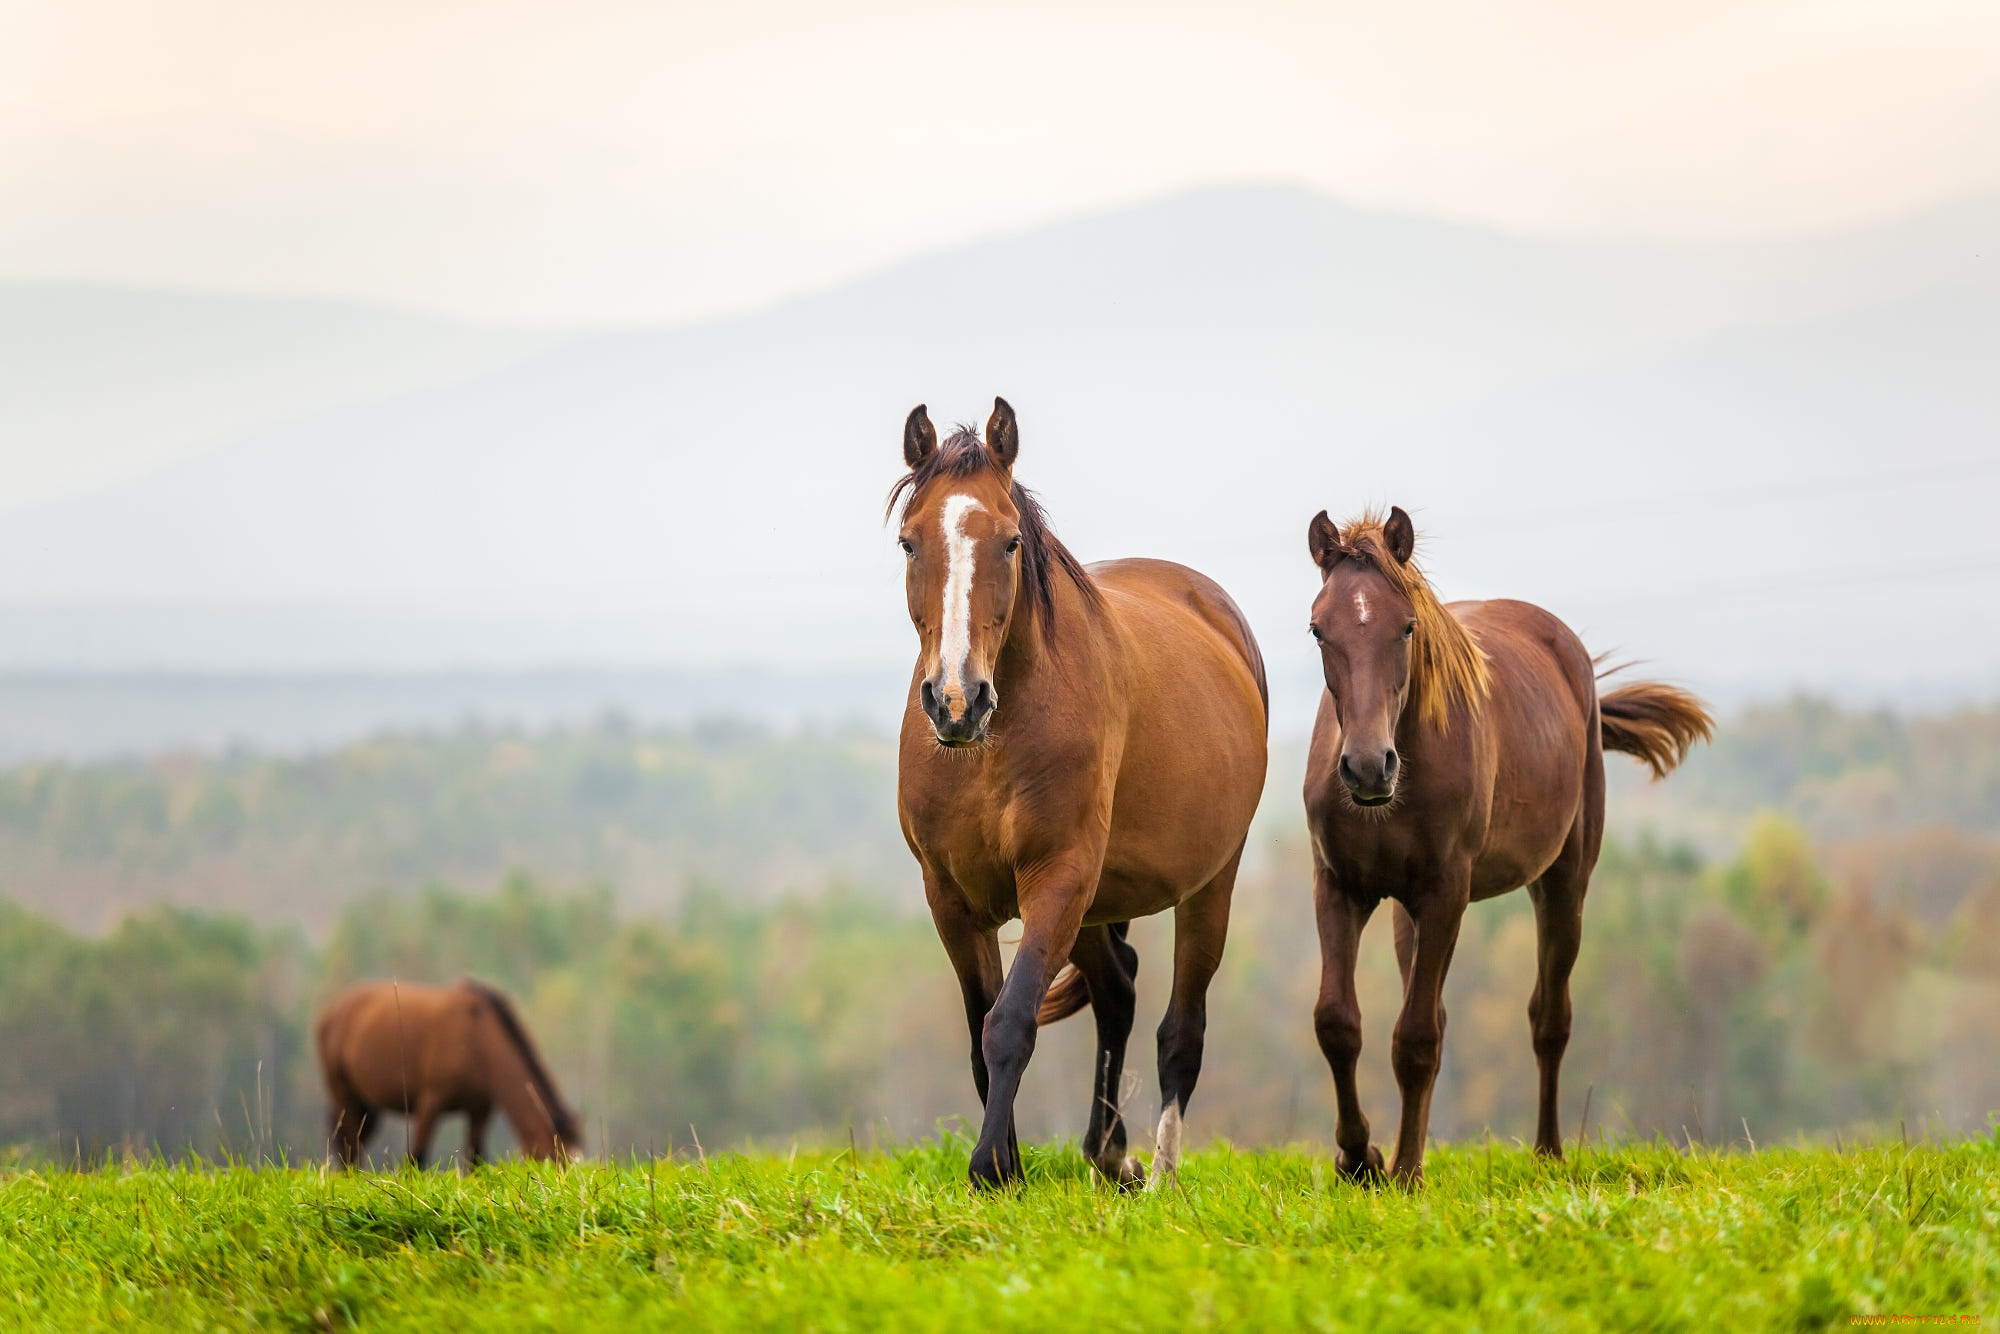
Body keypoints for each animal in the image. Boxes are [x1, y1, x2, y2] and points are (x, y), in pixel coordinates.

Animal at [312, 980, 580, 1168]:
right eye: (553, 1159)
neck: (477, 1038)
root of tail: (330, 1011)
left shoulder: (479, 1109)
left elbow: (474, 1159)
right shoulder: (430, 1103)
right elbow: (417, 1158)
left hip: (367, 1105)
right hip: (343, 1093)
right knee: (349, 1144)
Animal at [896, 396, 1264, 1192]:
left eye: (1008, 543)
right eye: (910, 543)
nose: (955, 701)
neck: (992, 747)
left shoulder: (1057, 876)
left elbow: (1010, 1022)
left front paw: (990, 1169)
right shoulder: (951, 897)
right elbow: (980, 1029)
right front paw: (1007, 1163)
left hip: (1206, 884)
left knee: (1180, 1030)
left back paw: (1160, 1174)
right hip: (1098, 901)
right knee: (1119, 990)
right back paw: (1110, 1152)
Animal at [1304, 508, 1712, 1192]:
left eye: (1407, 626)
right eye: (1317, 629)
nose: (1366, 768)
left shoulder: (1447, 893)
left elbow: (1416, 1039)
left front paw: (1404, 1171)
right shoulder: (1340, 887)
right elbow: (1339, 1023)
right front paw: (1361, 1160)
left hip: (1563, 884)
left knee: (1549, 1018)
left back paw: (1547, 1152)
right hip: (1406, 911)